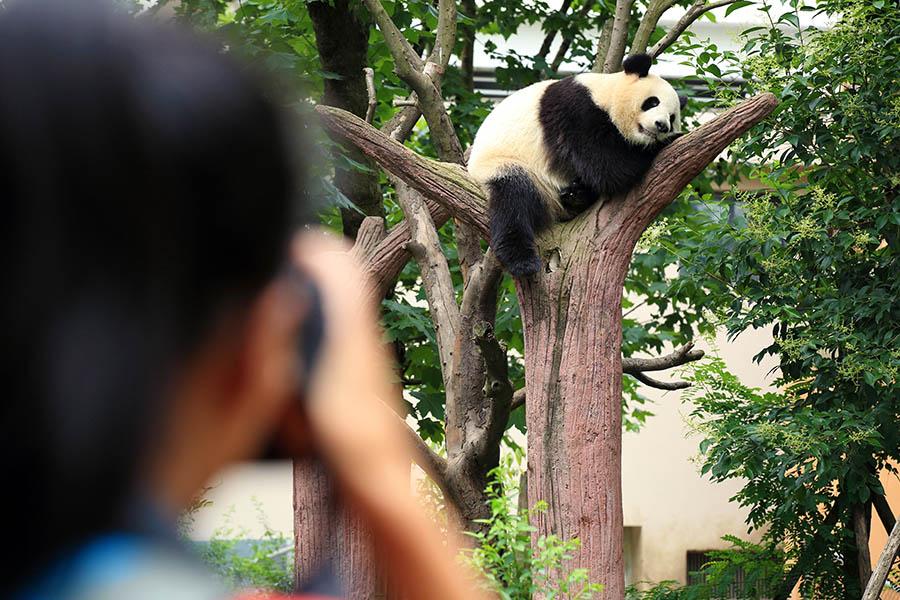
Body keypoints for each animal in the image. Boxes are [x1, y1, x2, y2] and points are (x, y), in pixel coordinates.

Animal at [467, 54, 687, 277]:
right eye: (652, 102)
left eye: (672, 117)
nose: (662, 126)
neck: (605, 94)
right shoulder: (576, 111)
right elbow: (608, 166)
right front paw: (668, 141)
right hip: (504, 164)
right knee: (512, 201)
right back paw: (522, 261)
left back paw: (576, 196)